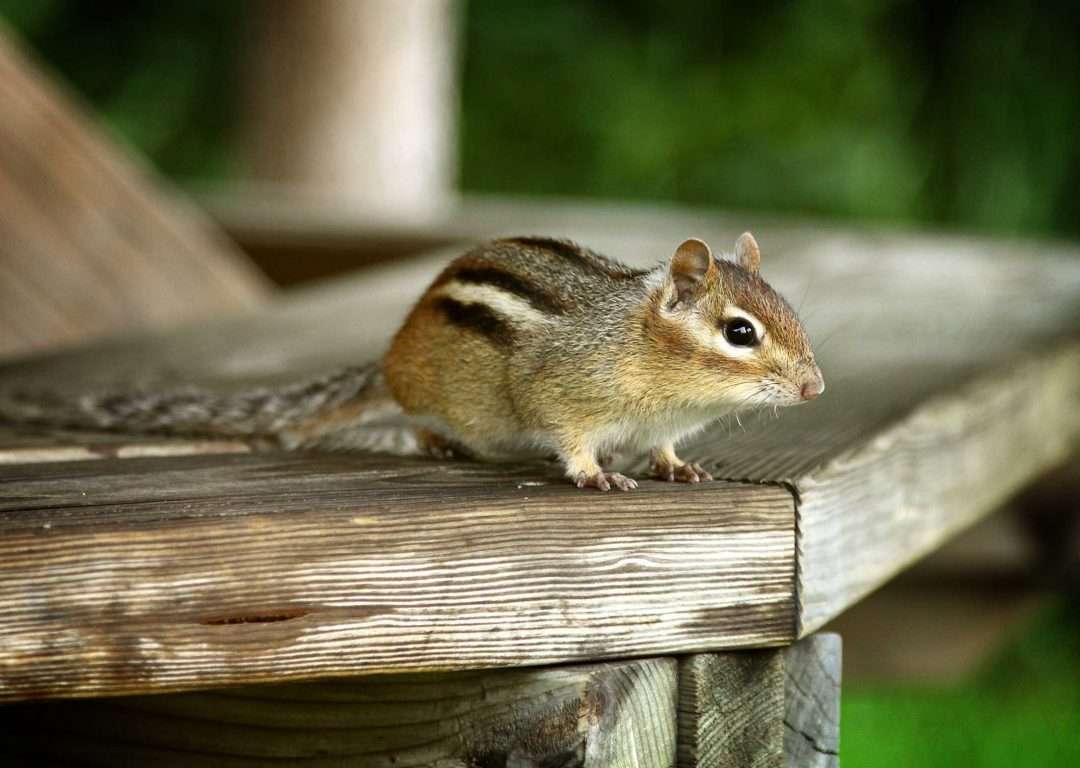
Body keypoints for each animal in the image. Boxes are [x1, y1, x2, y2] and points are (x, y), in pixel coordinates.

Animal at [0, 233, 823, 491]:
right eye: (741, 332)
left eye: (790, 308)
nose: (816, 386)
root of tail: (391, 356)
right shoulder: (562, 393)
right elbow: (571, 439)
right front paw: (595, 473)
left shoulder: (662, 421)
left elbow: (664, 447)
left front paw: (677, 466)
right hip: (432, 397)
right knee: (416, 416)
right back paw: (437, 441)